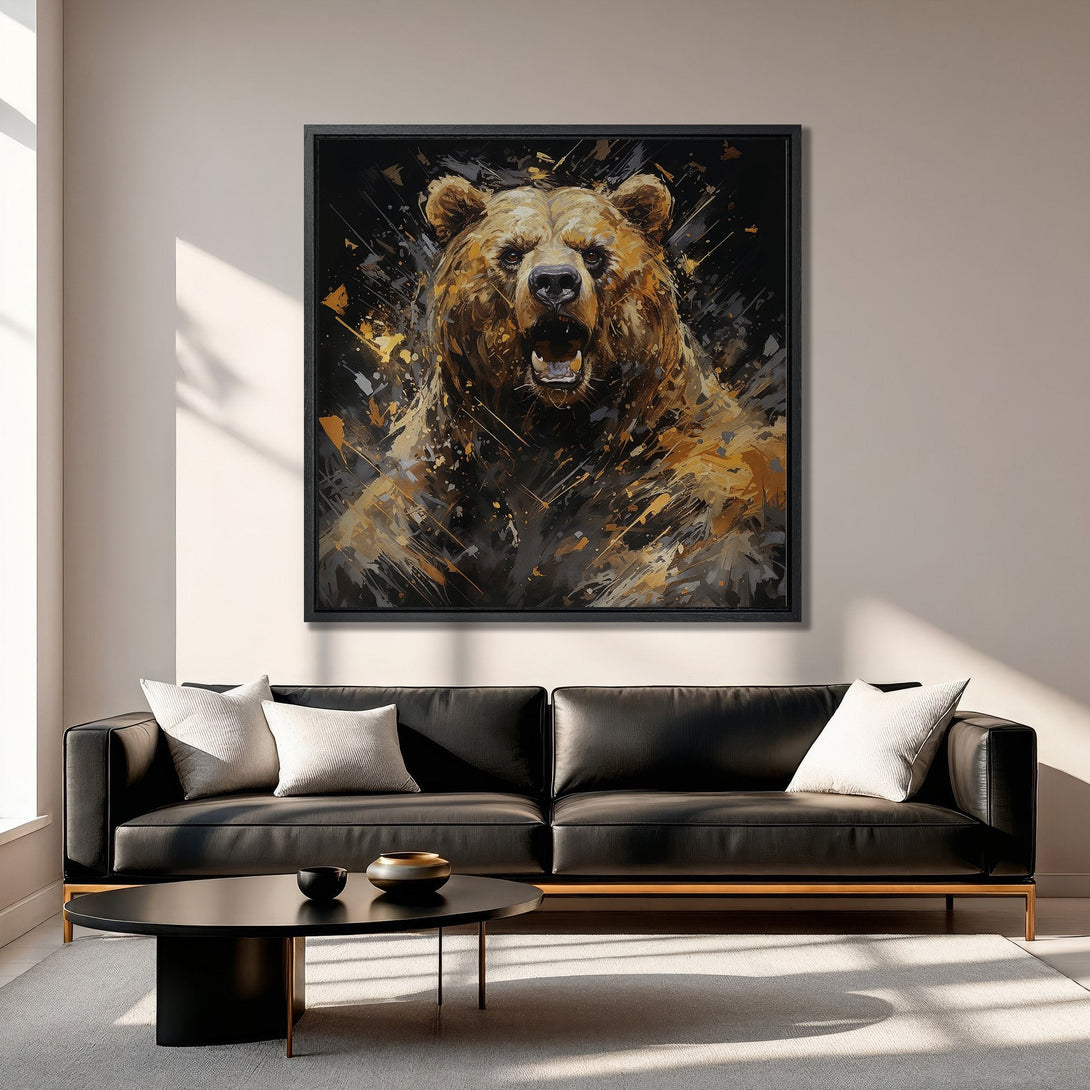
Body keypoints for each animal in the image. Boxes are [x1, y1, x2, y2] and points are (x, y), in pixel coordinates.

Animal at [317, 173, 787, 610]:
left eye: (593, 253)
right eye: (512, 252)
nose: (556, 282)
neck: (553, 424)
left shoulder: (681, 482)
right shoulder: (438, 477)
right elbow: (379, 545)